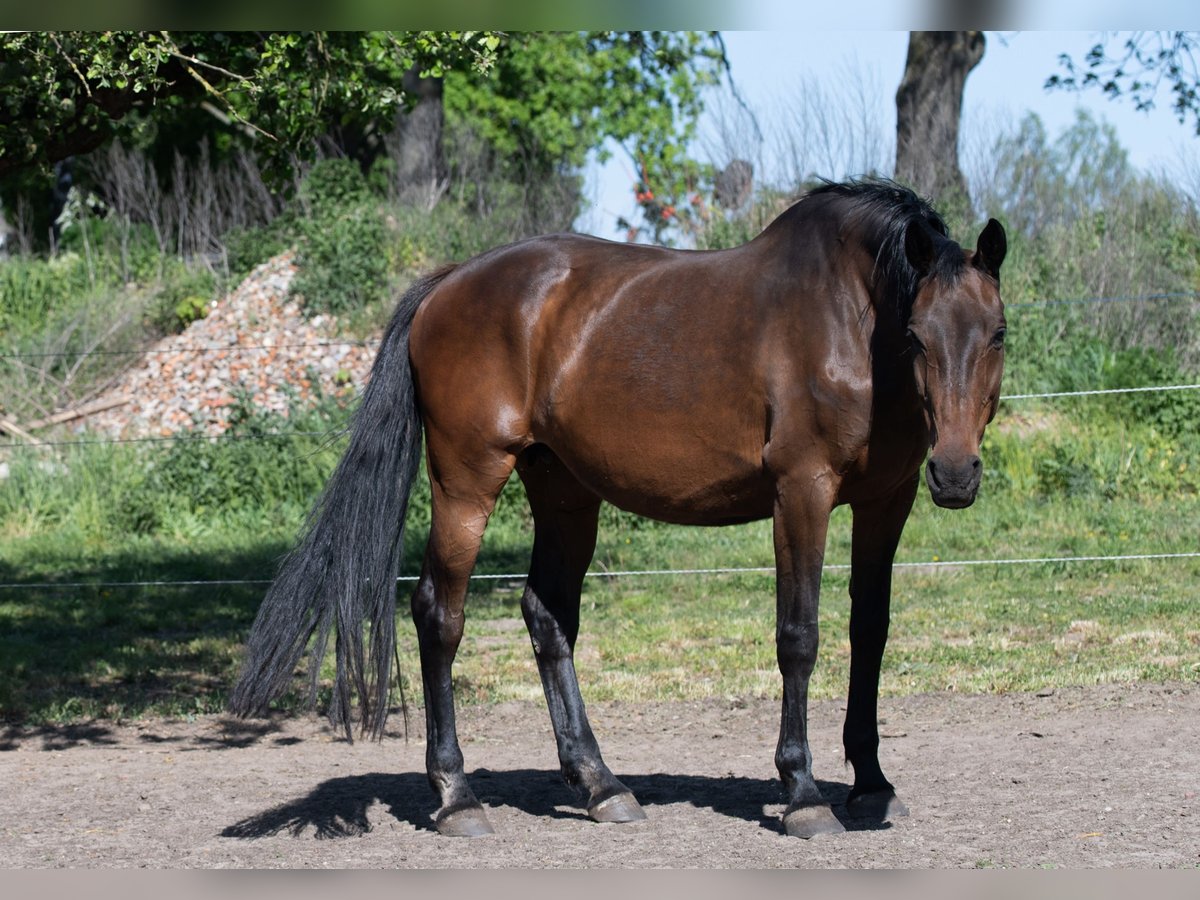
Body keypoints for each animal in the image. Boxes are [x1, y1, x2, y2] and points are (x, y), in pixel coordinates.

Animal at [229, 180, 1008, 844]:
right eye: (918, 335)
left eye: (997, 332)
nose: (956, 473)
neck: (848, 322)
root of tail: (447, 284)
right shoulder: (802, 492)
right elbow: (800, 637)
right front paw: (804, 794)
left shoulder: (887, 500)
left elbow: (869, 632)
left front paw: (872, 784)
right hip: (467, 482)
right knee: (437, 615)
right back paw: (456, 796)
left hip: (564, 490)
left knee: (546, 616)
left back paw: (601, 785)